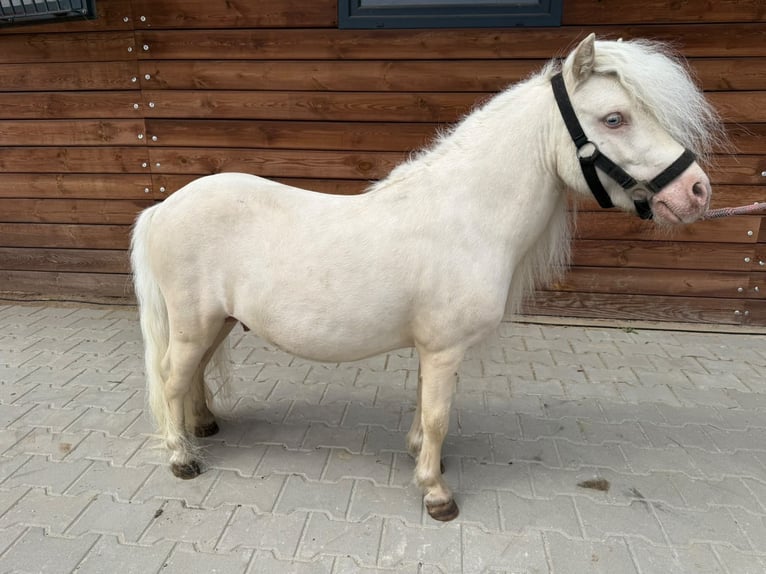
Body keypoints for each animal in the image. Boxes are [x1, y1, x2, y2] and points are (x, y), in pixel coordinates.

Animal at [130, 34, 723, 521]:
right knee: (172, 377)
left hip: (218, 322)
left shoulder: (432, 349)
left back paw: (203, 427)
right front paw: (436, 494)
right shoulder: (444, 348)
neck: (466, 215)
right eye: (615, 118)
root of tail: (162, 207)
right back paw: (182, 457)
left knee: (192, 374)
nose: (695, 190)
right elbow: (438, 415)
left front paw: (420, 457)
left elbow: (424, 408)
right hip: (194, 323)